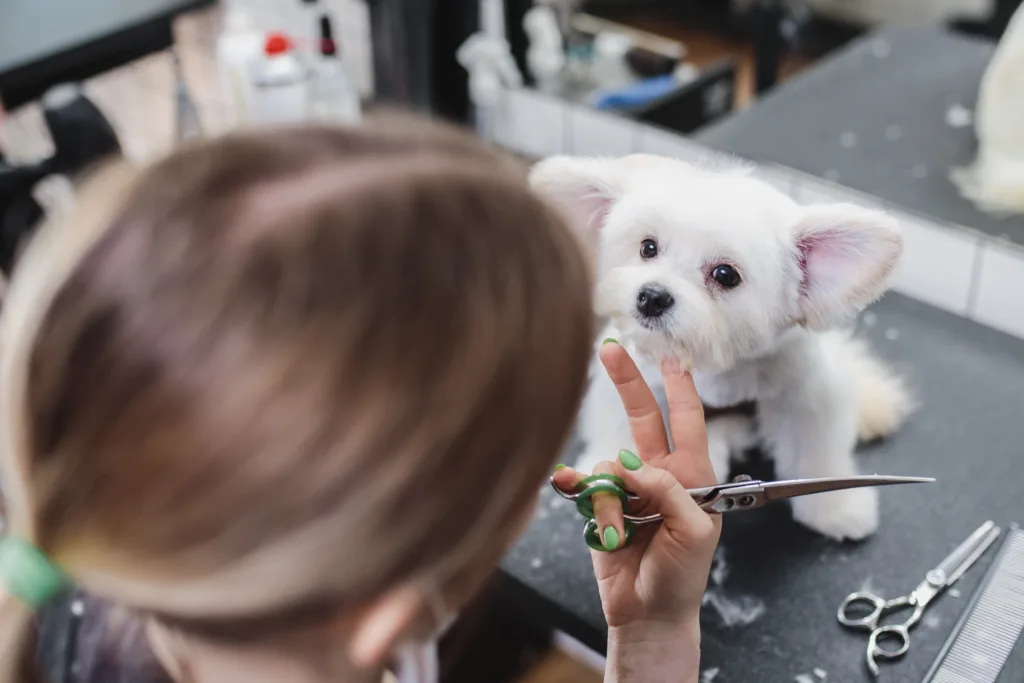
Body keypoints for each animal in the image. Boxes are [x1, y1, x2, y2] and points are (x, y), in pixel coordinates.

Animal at [528, 153, 913, 540]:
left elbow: (815, 454)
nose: (652, 296)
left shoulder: (804, 396)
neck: (715, 366)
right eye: (648, 247)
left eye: (725, 275)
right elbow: (619, 425)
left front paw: (836, 507)